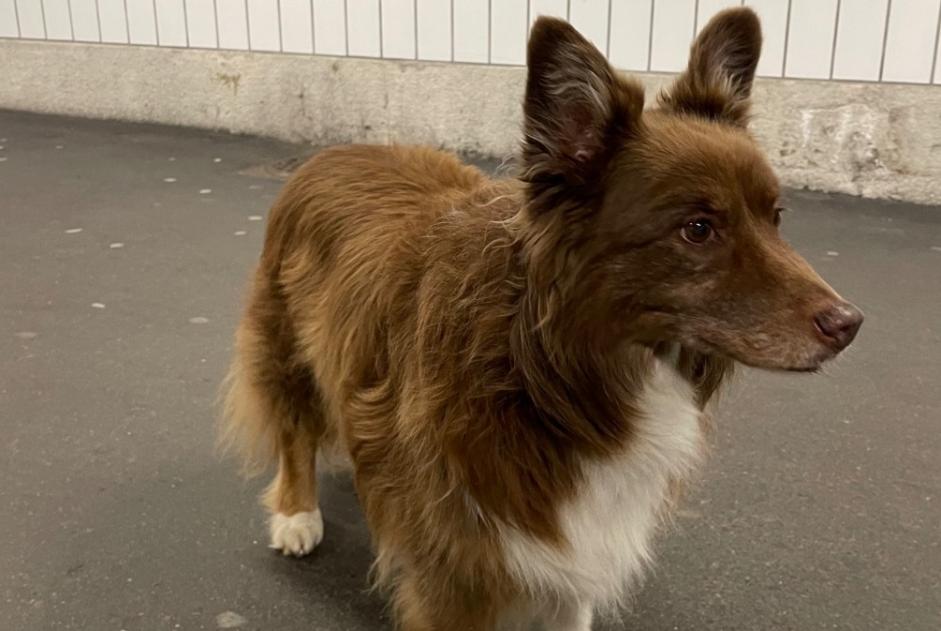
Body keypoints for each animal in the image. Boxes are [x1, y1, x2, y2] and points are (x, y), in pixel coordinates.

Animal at [218, 9, 860, 631]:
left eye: (776, 217)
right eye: (698, 229)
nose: (850, 324)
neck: (546, 372)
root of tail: (333, 151)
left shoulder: (571, 558)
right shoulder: (455, 573)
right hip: (285, 343)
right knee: (294, 427)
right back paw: (297, 514)